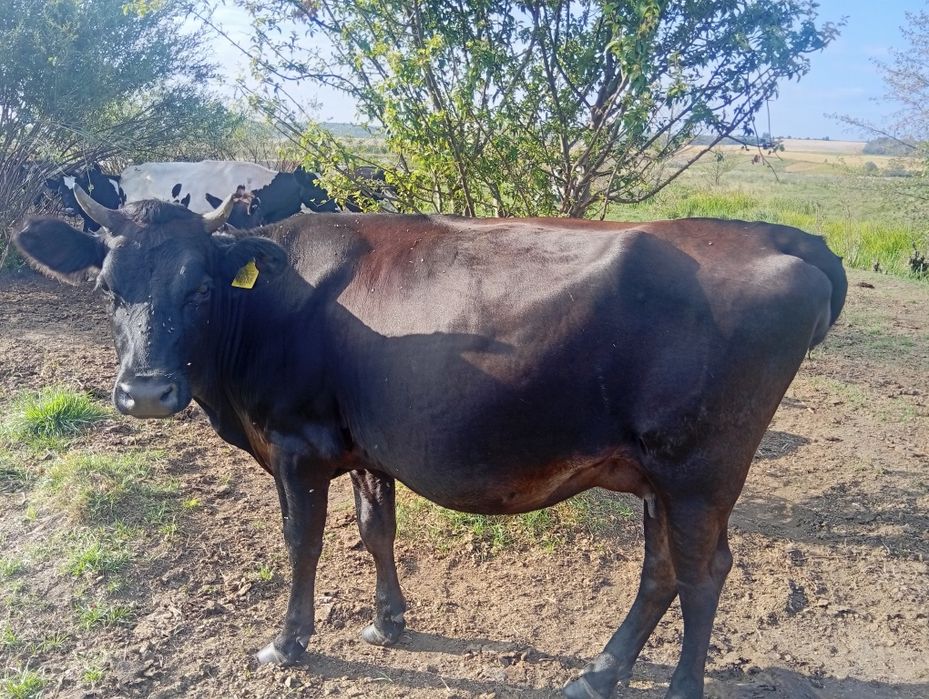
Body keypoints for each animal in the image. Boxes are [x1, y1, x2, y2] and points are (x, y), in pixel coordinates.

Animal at [14, 188, 846, 699]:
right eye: (107, 286)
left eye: (200, 286)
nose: (146, 392)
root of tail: (780, 236)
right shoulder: (359, 443)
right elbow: (374, 528)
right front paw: (388, 621)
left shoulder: (296, 443)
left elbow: (302, 542)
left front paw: (287, 640)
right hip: (656, 473)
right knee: (662, 568)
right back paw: (598, 671)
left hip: (699, 467)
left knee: (703, 572)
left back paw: (677, 685)